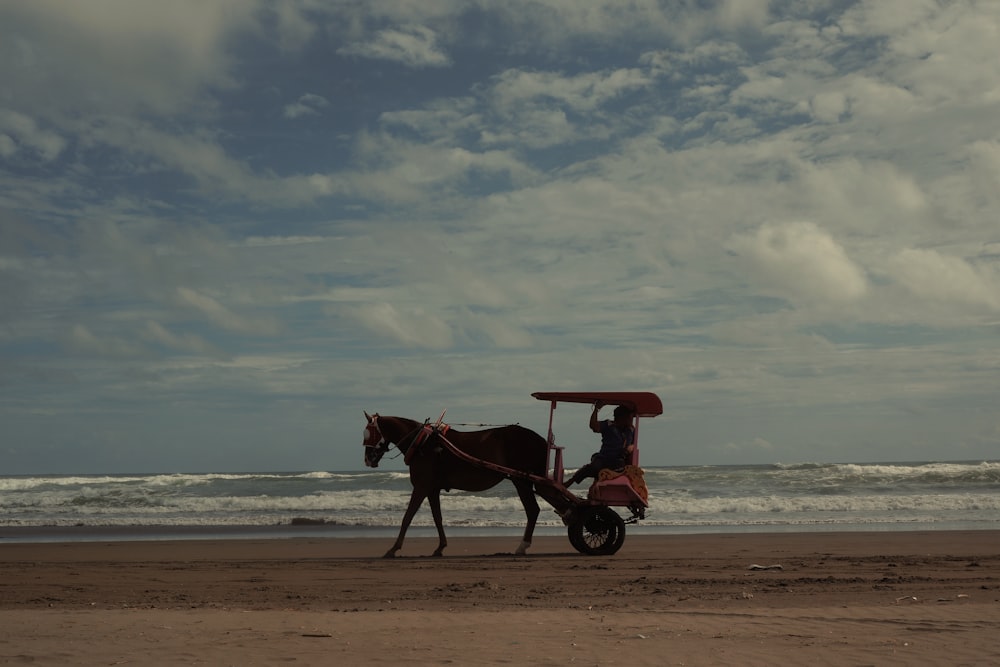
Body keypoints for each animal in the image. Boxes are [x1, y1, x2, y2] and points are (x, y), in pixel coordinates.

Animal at [362, 412, 548, 560]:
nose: (368, 460)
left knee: (532, 510)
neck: (422, 443)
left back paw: (523, 546)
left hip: (521, 480)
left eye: (368, 434)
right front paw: (440, 547)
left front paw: (393, 549)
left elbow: (408, 517)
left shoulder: (421, 486)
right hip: (523, 481)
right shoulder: (432, 489)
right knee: (535, 509)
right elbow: (437, 518)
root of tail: (540, 439)